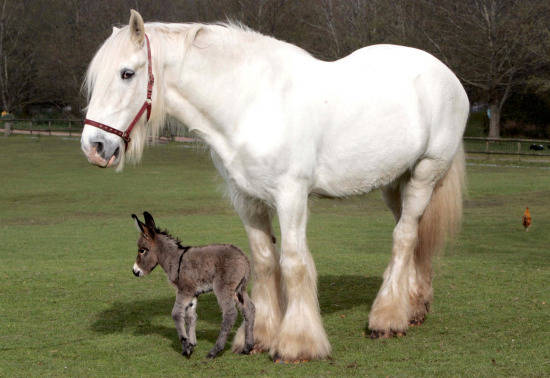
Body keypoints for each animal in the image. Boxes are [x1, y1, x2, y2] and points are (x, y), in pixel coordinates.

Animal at [132, 213, 256, 358]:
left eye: (142, 250)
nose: (135, 271)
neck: (175, 259)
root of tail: (243, 258)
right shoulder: (193, 293)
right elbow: (190, 316)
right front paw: (191, 343)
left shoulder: (184, 290)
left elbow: (176, 314)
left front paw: (186, 347)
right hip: (239, 289)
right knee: (250, 309)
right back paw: (247, 347)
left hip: (223, 288)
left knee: (230, 314)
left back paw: (215, 351)